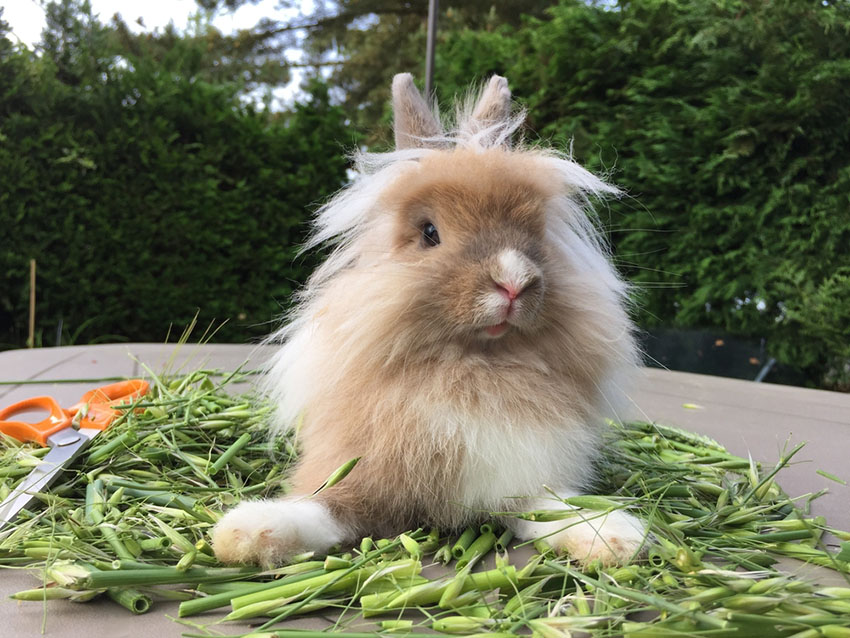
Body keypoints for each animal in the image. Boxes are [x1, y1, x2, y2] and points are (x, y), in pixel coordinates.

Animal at [210, 74, 644, 568]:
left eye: (535, 233)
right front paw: (244, 532)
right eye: (429, 233)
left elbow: (552, 508)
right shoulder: (359, 471)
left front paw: (617, 536)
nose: (514, 281)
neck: (472, 368)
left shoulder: (517, 481)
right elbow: (322, 506)